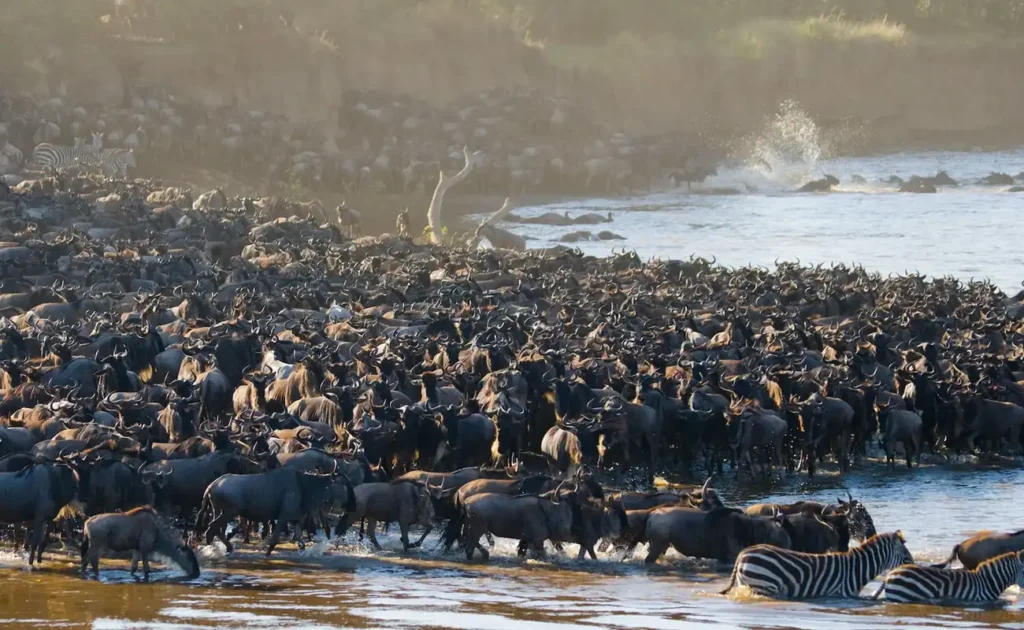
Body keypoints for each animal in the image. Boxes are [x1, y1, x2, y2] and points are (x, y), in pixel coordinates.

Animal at [716, 528, 917, 598]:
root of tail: (743, 553)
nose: (914, 566)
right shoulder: (842, 593)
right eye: (906, 556)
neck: (857, 568)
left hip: (746, 583)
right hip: (764, 585)